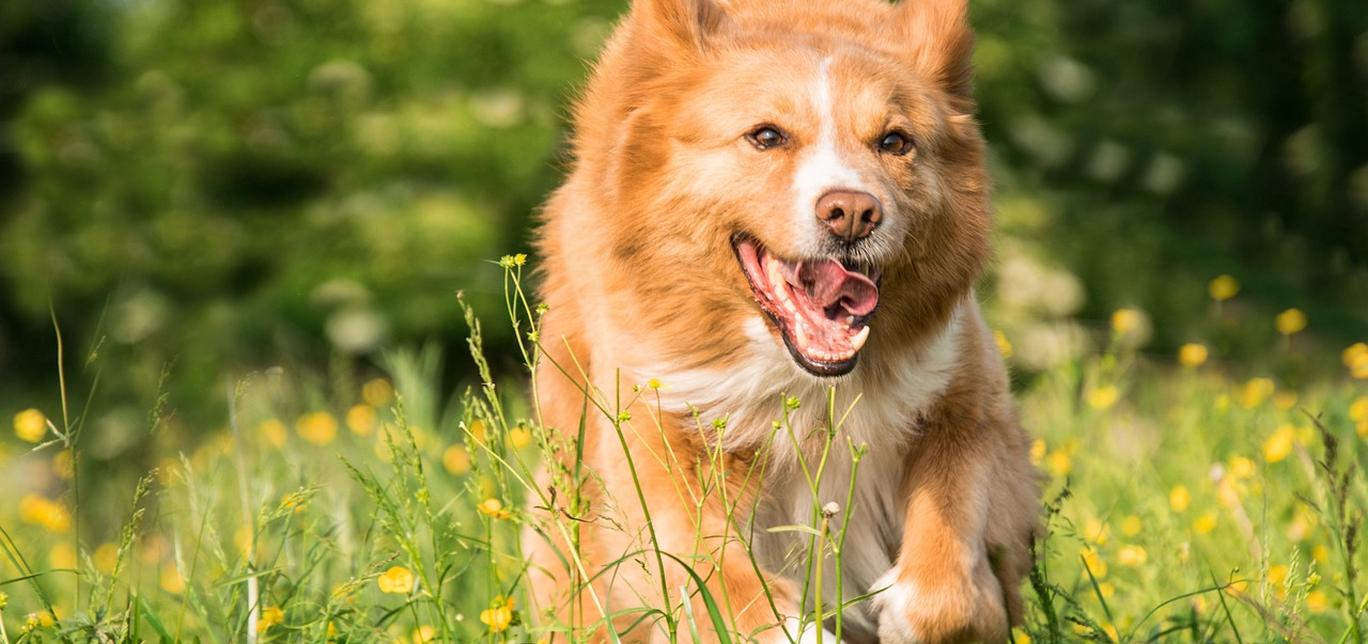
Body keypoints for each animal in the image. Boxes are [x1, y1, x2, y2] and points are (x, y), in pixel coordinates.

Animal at [522, 2, 1034, 642]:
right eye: (766, 136)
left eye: (895, 141)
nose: (853, 213)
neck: (809, 385)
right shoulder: (651, 424)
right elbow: (715, 572)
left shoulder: (967, 397)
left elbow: (952, 586)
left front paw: (910, 607)